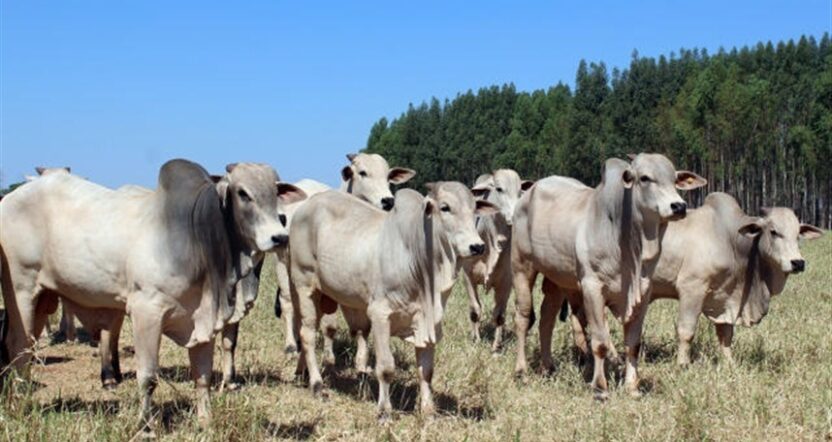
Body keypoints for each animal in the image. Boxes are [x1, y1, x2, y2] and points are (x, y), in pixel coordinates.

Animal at [0, 160, 304, 434]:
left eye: (275, 191)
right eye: (242, 193)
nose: (279, 237)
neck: (194, 238)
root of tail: (10, 199)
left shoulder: (203, 318)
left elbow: (203, 376)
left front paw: (205, 423)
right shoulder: (147, 312)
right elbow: (148, 377)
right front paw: (145, 425)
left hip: (43, 299)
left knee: (25, 348)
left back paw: (22, 398)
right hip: (21, 291)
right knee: (18, 347)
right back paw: (18, 406)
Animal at [289, 183, 496, 418]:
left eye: (474, 209)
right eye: (445, 207)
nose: (477, 246)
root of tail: (305, 206)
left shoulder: (427, 322)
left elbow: (426, 371)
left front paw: (428, 411)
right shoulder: (380, 315)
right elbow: (386, 367)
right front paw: (384, 411)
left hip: (321, 295)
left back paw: (302, 373)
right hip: (304, 285)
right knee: (307, 334)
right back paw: (317, 385)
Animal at [461, 169, 533, 350]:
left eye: (520, 191)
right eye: (499, 189)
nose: (515, 215)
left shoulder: (506, 281)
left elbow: (499, 315)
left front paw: (496, 346)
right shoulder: (467, 276)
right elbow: (475, 310)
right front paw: (476, 340)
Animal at [511, 154, 705, 399]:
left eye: (674, 179)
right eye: (645, 178)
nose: (679, 206)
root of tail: (529, 191)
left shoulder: (643, 292)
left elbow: (633, 344)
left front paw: (632, 387)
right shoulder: (592, 288)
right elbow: (600, 342)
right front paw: (600, 388)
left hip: (556, 279)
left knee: (547, 318)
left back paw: (548, 368)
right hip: (521, 267)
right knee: (523, 317)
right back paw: (521, 371)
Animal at [648, 193, 824, 365]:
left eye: (798, 234)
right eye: (773, 232)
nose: (798, 263)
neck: (729, 239)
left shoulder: (726, 298)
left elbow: (726, 335)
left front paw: (730, 364)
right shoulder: (692, 288)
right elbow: (686, 331)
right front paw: (682, 364)